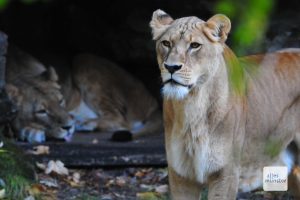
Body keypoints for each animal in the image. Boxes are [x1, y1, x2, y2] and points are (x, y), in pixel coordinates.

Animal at [151, 9, 300, 200]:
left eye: (195, 45)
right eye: (166, 43)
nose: (171, 67)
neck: (192, 105)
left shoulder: (226, 173)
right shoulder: (180, 175)